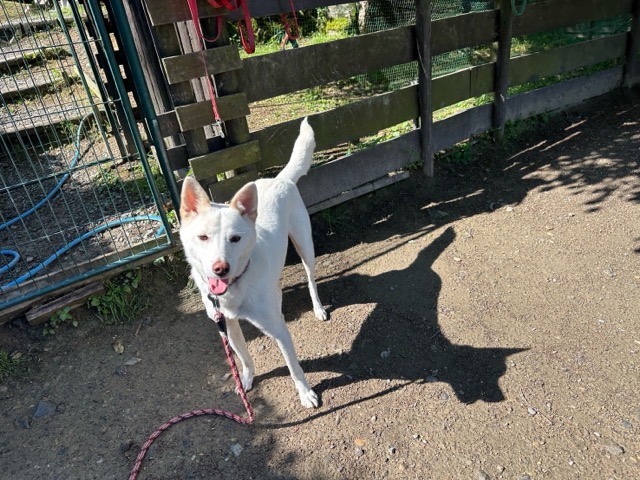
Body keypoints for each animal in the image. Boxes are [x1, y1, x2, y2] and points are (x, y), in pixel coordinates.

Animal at [179, 118, 327, 408]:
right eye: (203, 237)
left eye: (235, 239)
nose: (220, 269)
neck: (236, 285)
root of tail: (280, 179)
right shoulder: (227, 325)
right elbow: (244, 357)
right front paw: (246, 378)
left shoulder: (279, 330)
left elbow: (294, 366)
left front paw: (305, 392)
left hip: (305, 246)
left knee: (311, 280)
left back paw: (317, 307)